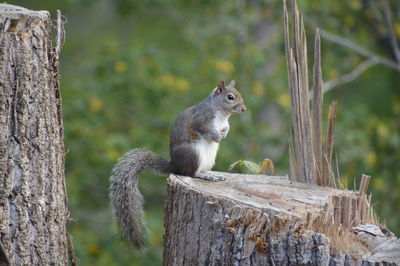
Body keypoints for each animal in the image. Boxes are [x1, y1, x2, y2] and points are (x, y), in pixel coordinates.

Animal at [109, 79, 247, 249]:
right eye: (230, 97)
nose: (244, 108)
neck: (222, 114)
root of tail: (174, 165)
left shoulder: (224, 123)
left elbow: (227, 127)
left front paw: (225, 132)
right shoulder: (201, 119)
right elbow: (205, 128)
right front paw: (217, 136)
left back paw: (210, 174)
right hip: (193, 153)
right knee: (191, 173)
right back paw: (205, 175)